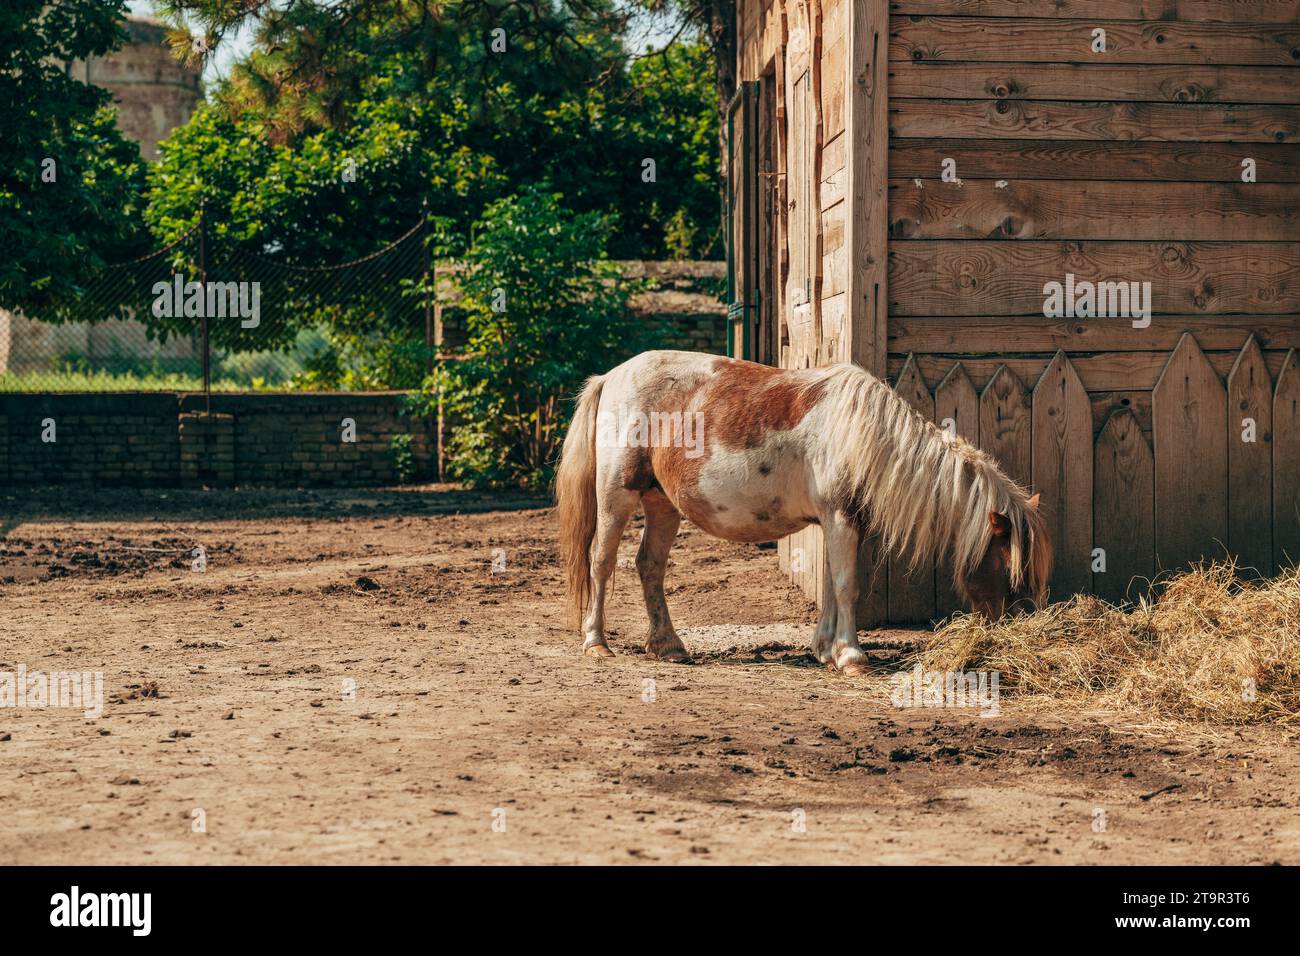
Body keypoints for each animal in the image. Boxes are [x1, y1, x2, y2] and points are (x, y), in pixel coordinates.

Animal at [553, 348, 1050, 671]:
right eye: (1013, 573)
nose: (1021, 629)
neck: (861, 436)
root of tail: (610, 377)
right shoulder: (841, 520)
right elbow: (848, 586)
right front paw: (852, 657)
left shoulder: (837, 523)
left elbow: (831, 584)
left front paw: (826, 650)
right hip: (617, 494)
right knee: (602, 562)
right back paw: (596, 643)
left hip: (662, 503)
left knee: (649, 567)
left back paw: (669, 645)